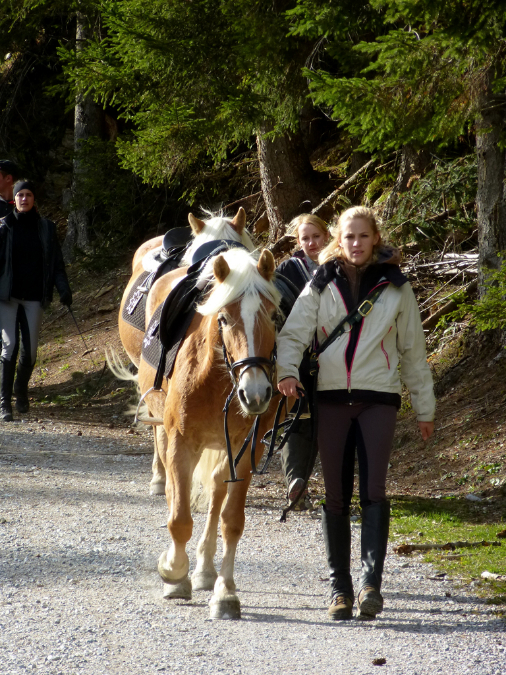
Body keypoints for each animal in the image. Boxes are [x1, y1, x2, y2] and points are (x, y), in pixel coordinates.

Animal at [137, 246, 282, 619]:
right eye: (225, 318)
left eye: (274, 316)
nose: (255, 393)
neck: (218, 379)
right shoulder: (180, 443)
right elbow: (179, 518)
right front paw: (173, 574)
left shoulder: (247, 451)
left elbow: (232, 521)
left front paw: (225, 593)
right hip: (169, 438)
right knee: (174, 493)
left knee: (216, 491)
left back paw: (204, 569)